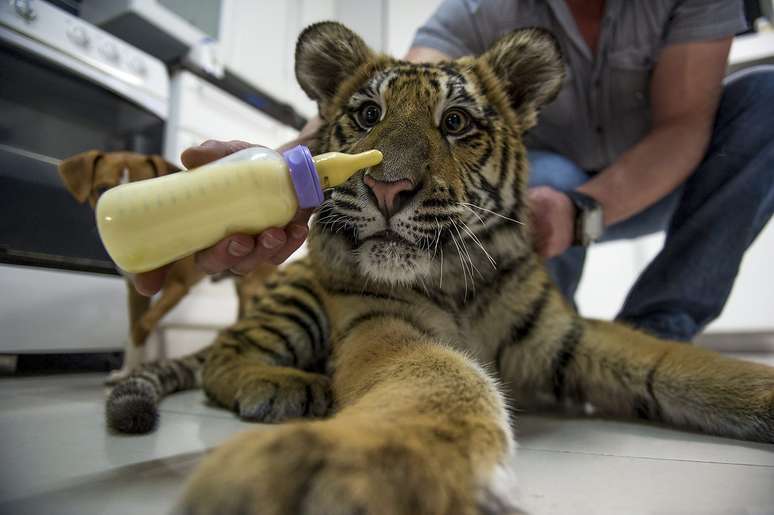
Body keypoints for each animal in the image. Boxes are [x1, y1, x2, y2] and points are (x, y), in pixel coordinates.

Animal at [105, 22, 774, 515]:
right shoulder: (385, 326)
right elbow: (442, 379)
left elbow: (684, 365)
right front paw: (358, 469)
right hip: (298, 299)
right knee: (224, 354)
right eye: (368, 115)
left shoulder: (566, 335)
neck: (456, 280)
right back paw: (286, 387)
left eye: (455, 122)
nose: (387, 188)